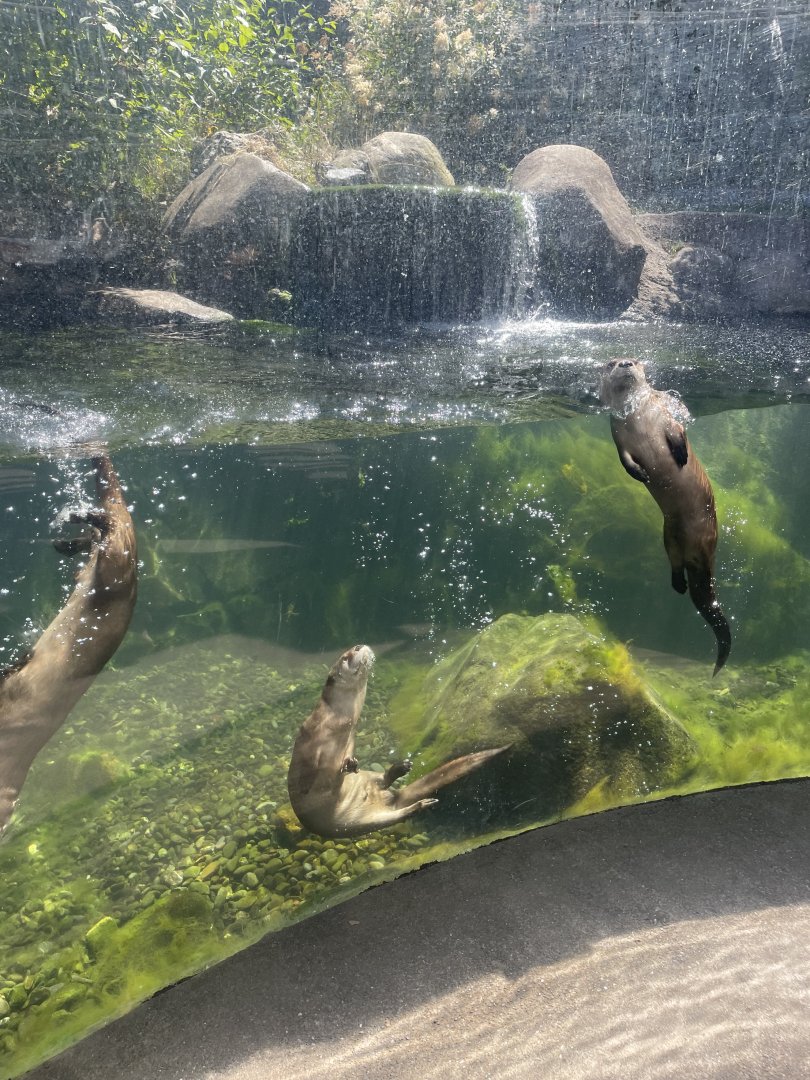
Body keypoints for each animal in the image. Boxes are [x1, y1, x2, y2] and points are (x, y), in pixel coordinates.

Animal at [0, 455, 137, 831]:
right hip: (113, 562)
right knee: (103, 530)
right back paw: (68, 536)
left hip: (115, 563)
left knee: (108, 526)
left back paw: (76, 521)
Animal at [288, 644, 509, 838]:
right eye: (345, 657)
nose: (359, 646)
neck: (338, 721)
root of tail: (393, 799)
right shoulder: (309, 736)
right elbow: (307, 767)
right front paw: (307, 785)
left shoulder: (350, 739)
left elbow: (347, 756)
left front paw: (350, 763)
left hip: (370, 810)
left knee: (392, 800)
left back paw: (406, 777)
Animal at [600, 358, 731, 675]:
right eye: (610, 363)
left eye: (632, 360)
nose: (624, 363)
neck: (638, 415)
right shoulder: (617, 436)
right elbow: (625, 461)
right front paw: (641, 473)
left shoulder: (665, 415)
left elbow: (677, 431)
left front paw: (681, 454)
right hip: (668, 534)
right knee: (675, 562)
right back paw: (678, 585)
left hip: (704, 537)